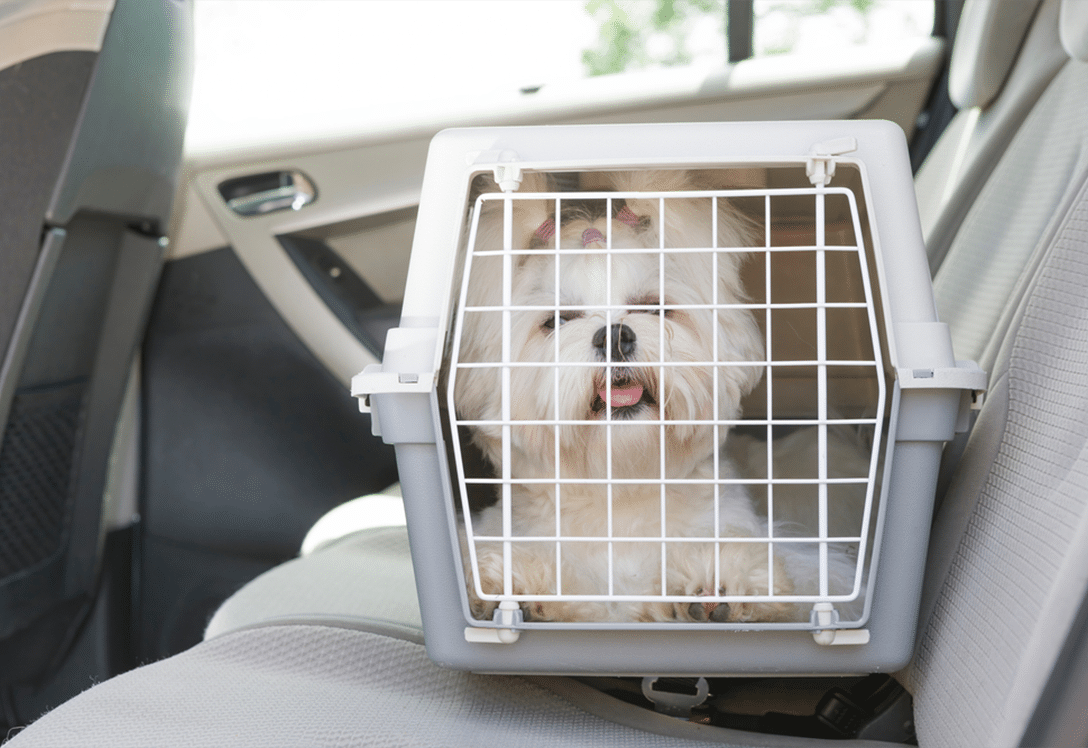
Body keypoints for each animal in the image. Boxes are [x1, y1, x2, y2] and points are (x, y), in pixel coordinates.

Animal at [450, 169, 857, 626]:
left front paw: (720, 579)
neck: (622, 490)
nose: (615, 336)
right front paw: (517, 584)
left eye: (653, 307)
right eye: (556, 321)